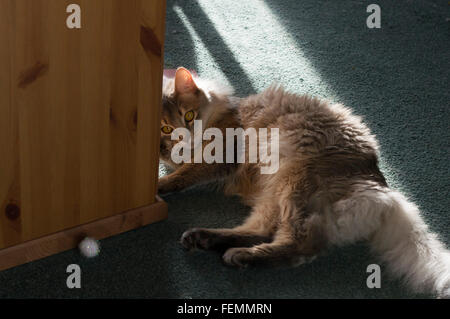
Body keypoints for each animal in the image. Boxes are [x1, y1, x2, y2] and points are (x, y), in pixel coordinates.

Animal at [156, 67, 448, 300]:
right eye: (165, 128)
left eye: (189, 115)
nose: (183, 137)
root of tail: (381, 188)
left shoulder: (221, 154)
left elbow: (184, 175)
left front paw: (159, 185)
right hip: (277, 192)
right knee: (262, 230)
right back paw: (203, 239)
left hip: (295, 184)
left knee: (300, 246)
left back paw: (240, 255)